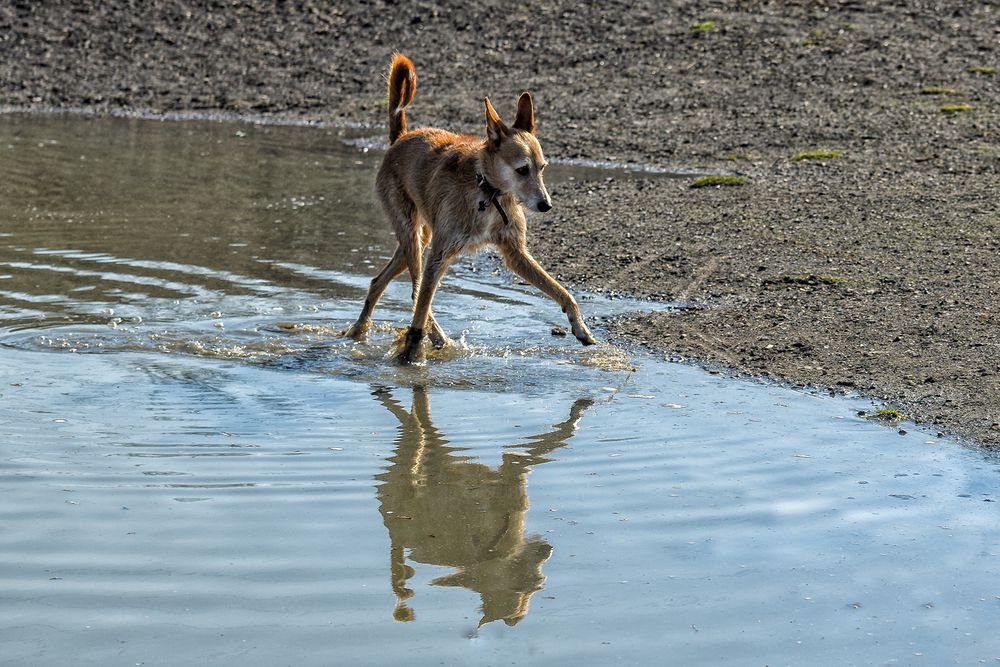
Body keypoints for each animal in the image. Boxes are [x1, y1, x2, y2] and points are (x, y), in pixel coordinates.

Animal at [346, 54, 592, 362]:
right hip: (414, 237)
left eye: (542, 167)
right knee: (417, 293)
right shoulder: (439, 255)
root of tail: (400, 137)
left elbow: (561, 291)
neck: (488, 191)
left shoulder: (515, 253)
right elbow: (421, 306)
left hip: (418, 241)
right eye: (522, 170)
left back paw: (361, 330)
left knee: (381, 282)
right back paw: (426, 337)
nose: (546, 205)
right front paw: (412, 354)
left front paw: (580, 325)